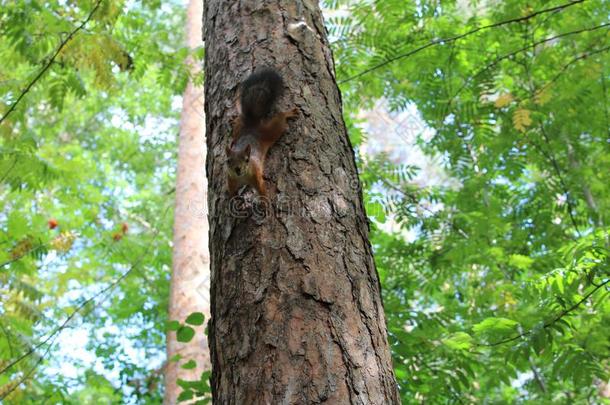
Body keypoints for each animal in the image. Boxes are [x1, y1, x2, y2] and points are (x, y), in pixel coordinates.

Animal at [226, 67, 296, 196]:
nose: (238, 169)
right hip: (238, 129)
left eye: (247, 159)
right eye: (228, 161)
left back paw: (287, 114)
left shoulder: (256, 178)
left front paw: (266, 202)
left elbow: (263, 193)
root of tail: (252, 125)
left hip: (272, 131)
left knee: (280, 120)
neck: (242, 177)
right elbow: (231, 193)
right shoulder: (231, 180)